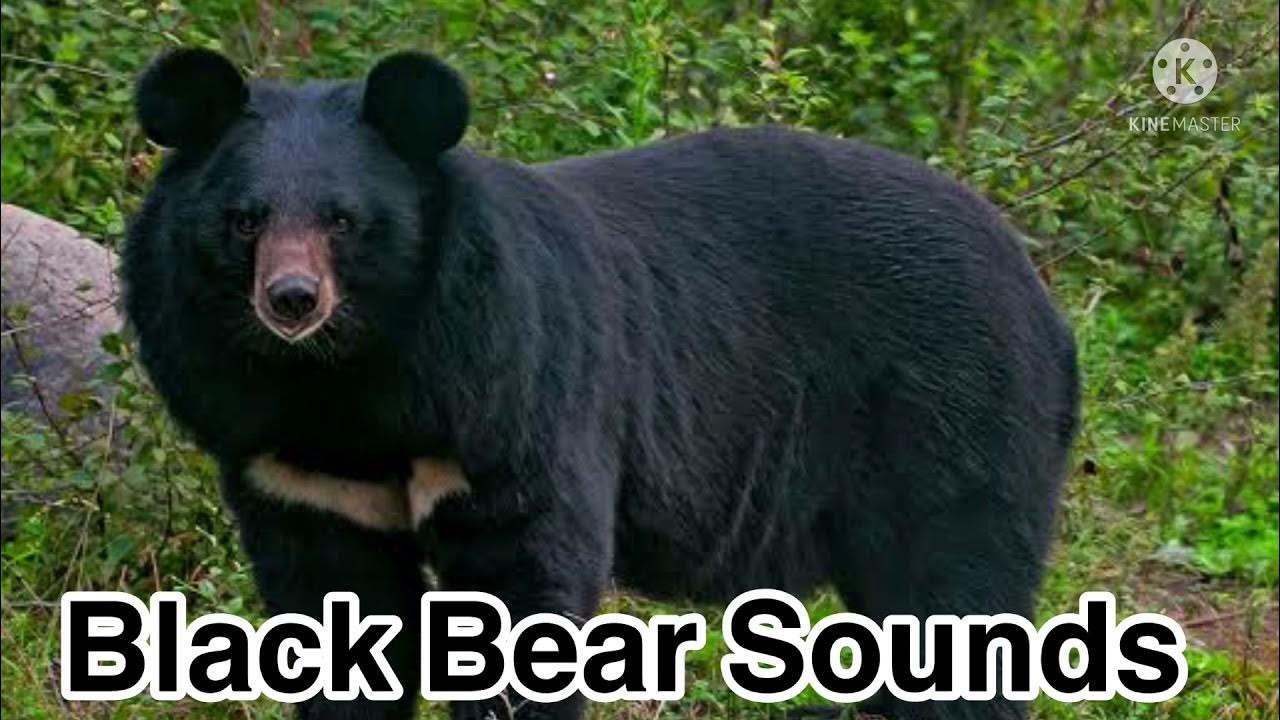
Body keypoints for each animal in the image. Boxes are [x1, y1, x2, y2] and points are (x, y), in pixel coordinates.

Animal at [122, 48, 1079, 720]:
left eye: (343, 221)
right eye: (245, 220)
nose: (292, 300)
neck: (347, 379)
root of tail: (1043, 296)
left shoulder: (508, 394)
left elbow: (521, 575)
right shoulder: (287, 457)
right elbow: (334, 606)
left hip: (951, 413)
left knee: (952, 586)